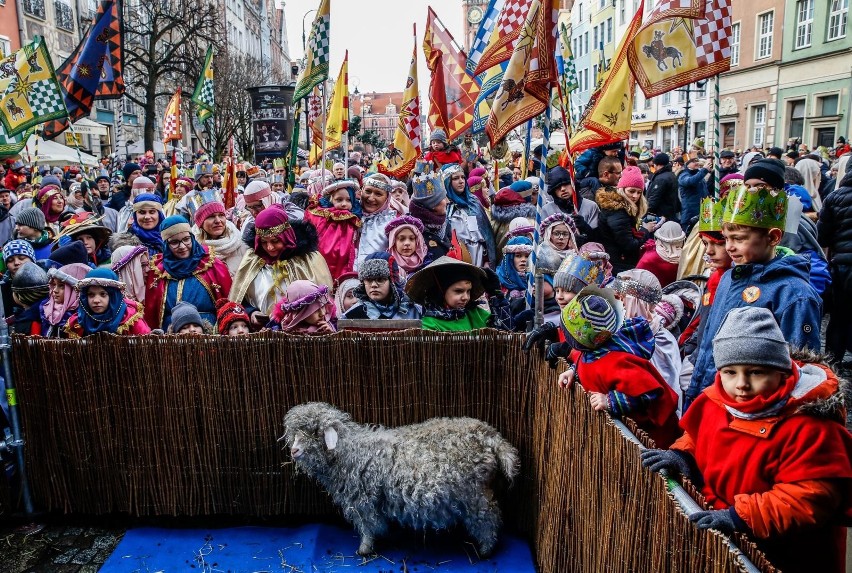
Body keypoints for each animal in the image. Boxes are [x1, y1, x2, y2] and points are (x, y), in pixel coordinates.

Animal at [280, 400, 520, 556]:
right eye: (294, 434)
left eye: (314, 432)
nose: (294, 451)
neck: (350, 452)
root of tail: (489, 435)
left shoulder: (363, 502)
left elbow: (367, 526)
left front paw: (364, 550)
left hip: (474, 494)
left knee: (489, 517)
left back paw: (486, 550)